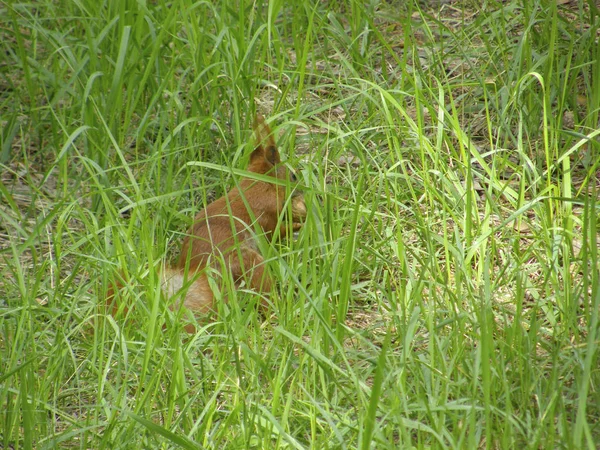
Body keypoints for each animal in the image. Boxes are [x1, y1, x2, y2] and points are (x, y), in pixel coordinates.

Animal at [109, 114, 304, 328]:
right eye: (293, 175)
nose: (303, 190)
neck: (258, 183)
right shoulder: (268, 213)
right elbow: (276, 230)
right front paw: (298, 223)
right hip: (250, 263)